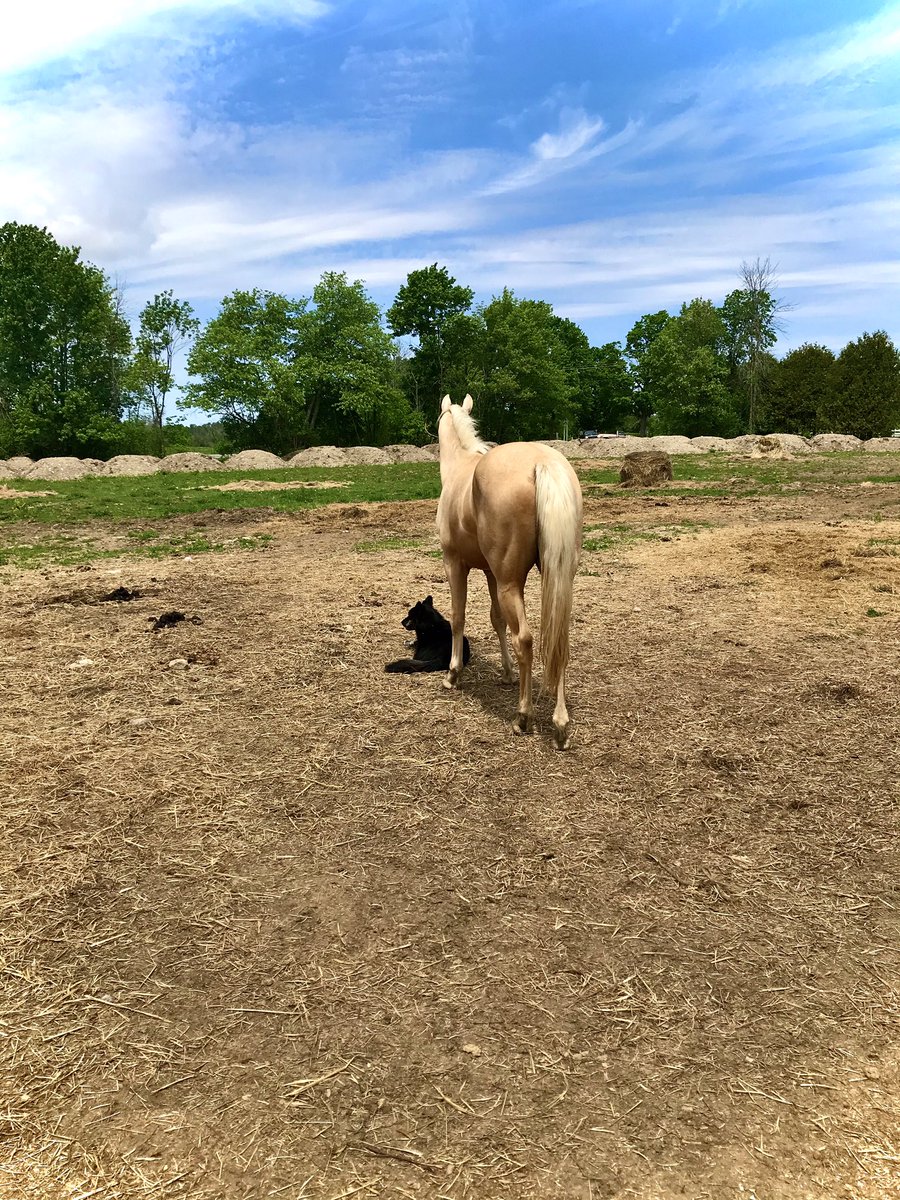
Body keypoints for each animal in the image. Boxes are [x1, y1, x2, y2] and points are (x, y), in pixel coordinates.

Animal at [436, 394, 583, 749]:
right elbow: (497, 619)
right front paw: (506, 673)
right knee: (558, 643)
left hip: (509, 582)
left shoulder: (454, 563)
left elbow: (458, 616)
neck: (459, 470)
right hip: (554, 580)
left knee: (525, 640)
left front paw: (453, 674)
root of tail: (544, 463)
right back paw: (560, 725)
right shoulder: (491, 573)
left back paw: (523, 717)